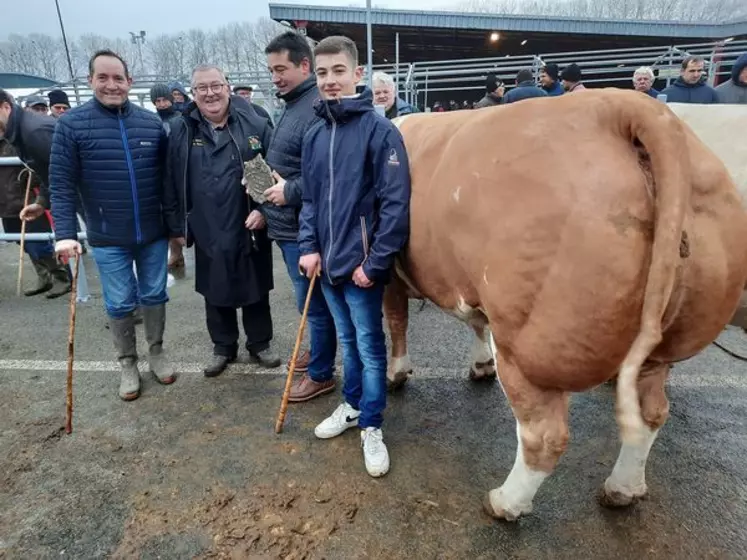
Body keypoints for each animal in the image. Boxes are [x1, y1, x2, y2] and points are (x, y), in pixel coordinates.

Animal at [386, 87, 747, 520]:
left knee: (545, 435)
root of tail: (625, 105)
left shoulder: (390, 276)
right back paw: (622, 488)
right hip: (664, 343)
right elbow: (474, 322)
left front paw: (396, 374)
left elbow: (396, 322)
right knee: (651, 412)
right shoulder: (466, 284)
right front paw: (480, 364)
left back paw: (505, 503)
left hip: (528, 345)